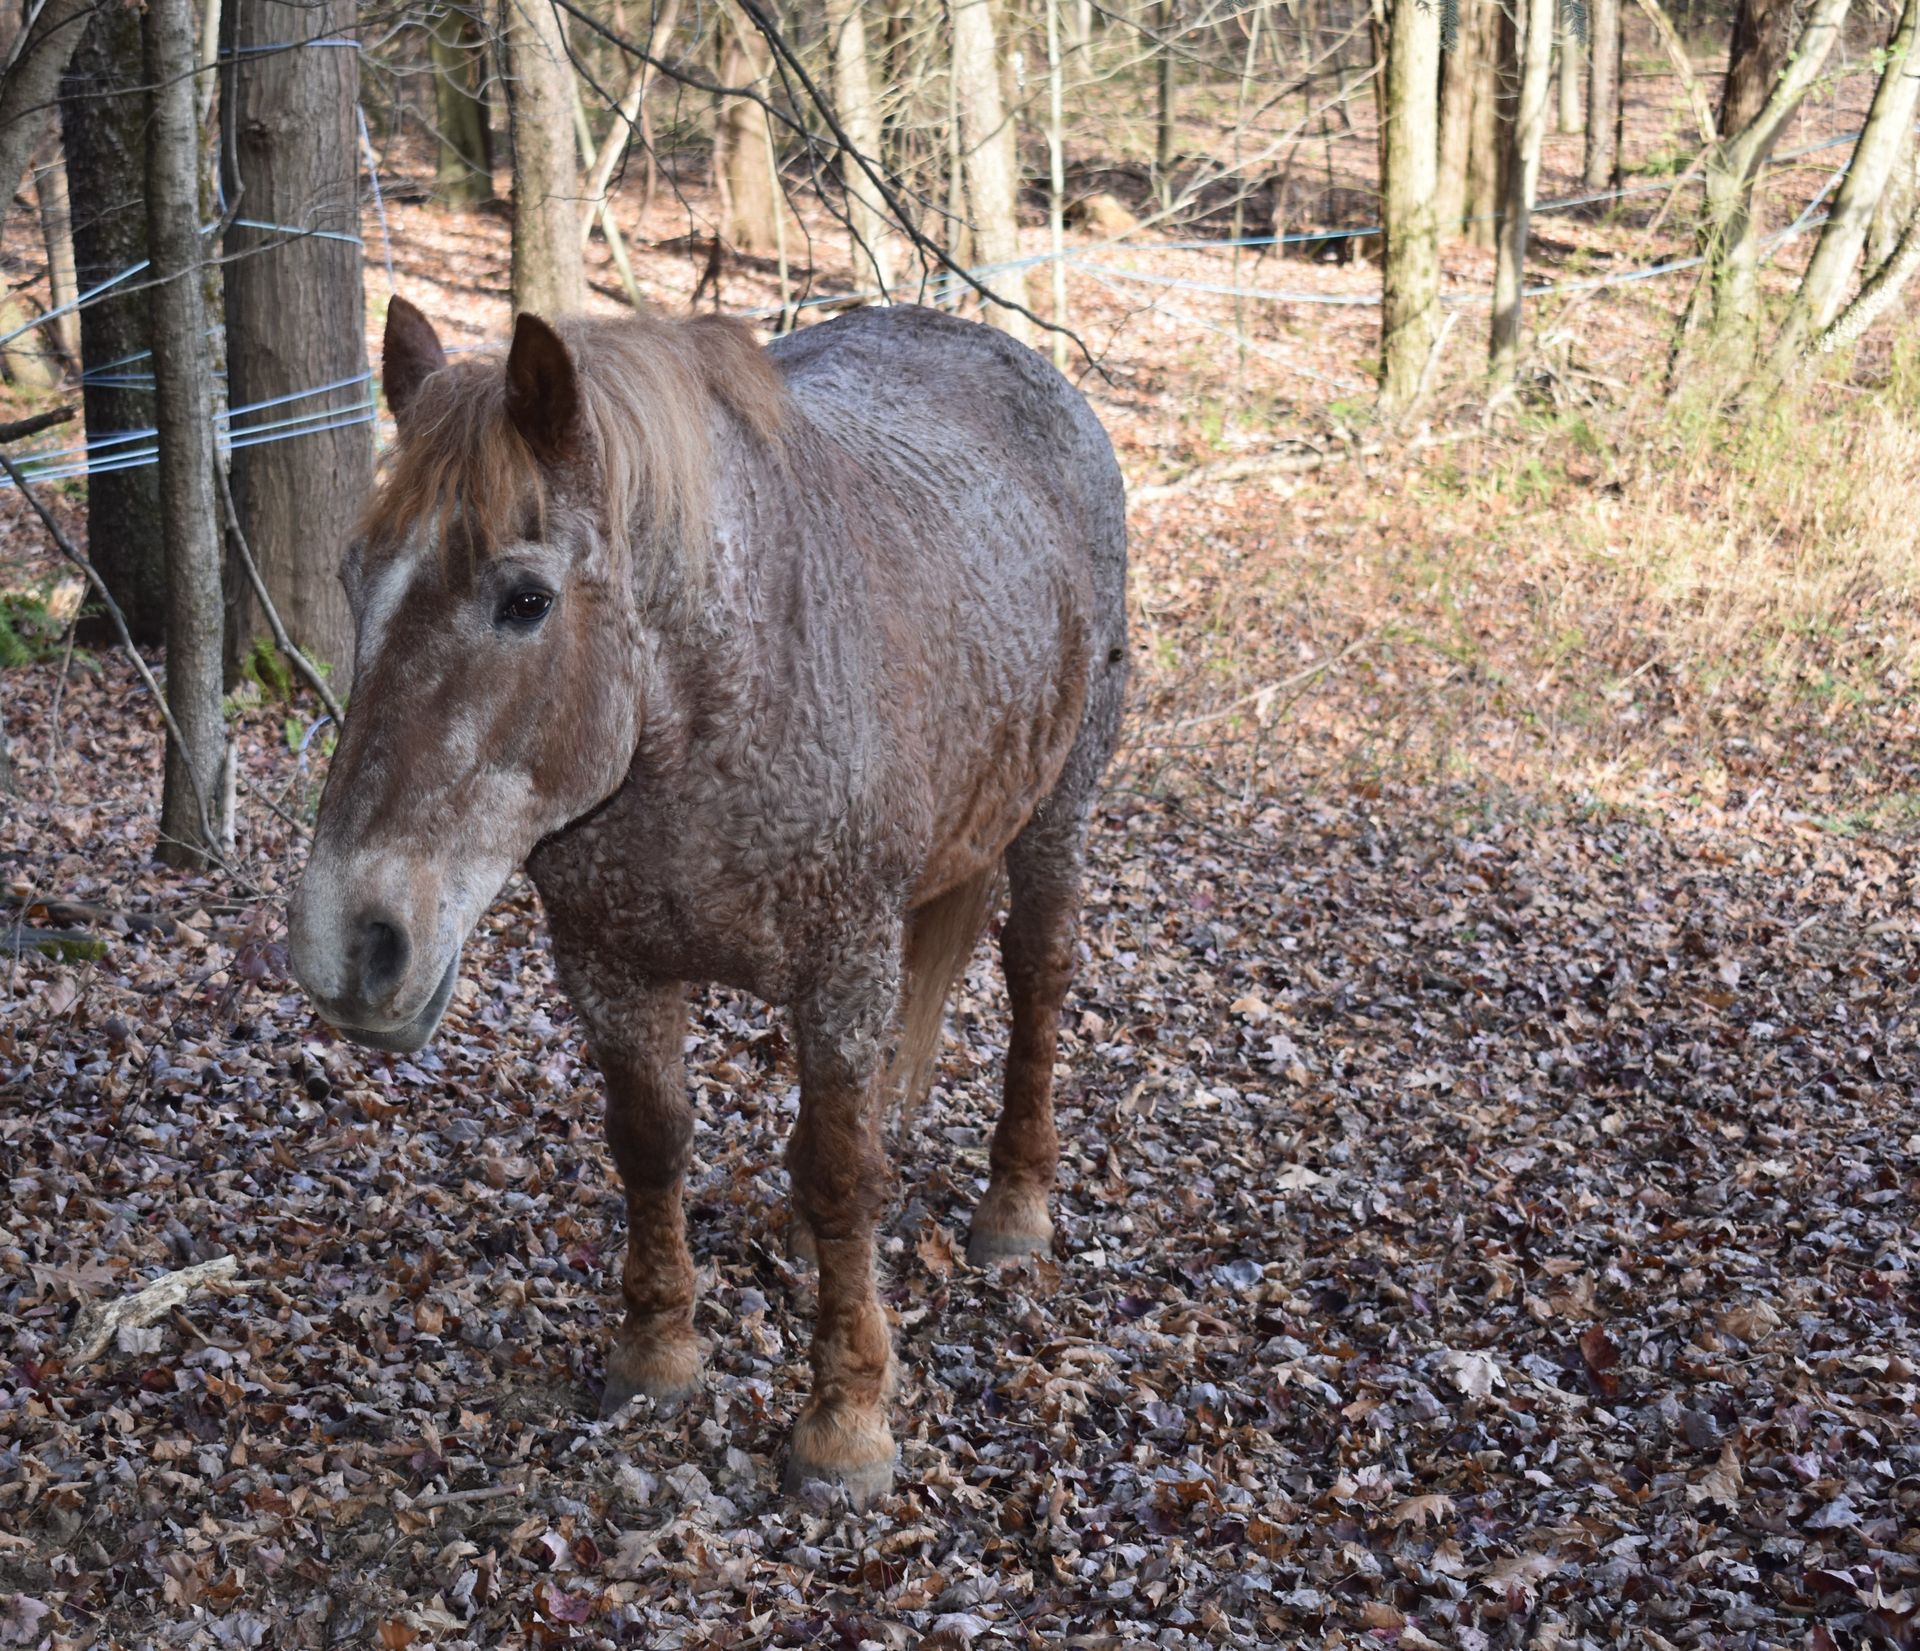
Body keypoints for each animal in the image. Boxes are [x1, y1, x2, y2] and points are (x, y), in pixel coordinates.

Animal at [284, 297, 1121, 1512]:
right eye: (356, 582)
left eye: (525, 599)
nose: (344, 943)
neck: (710, 700)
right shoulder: (608, 963)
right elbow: (653, 1142)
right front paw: (658, 1350)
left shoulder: (844, 965)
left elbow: (841, 1171)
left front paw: (845, 1419)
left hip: (1057, 809)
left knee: (1035, 979)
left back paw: (1016, 1207)